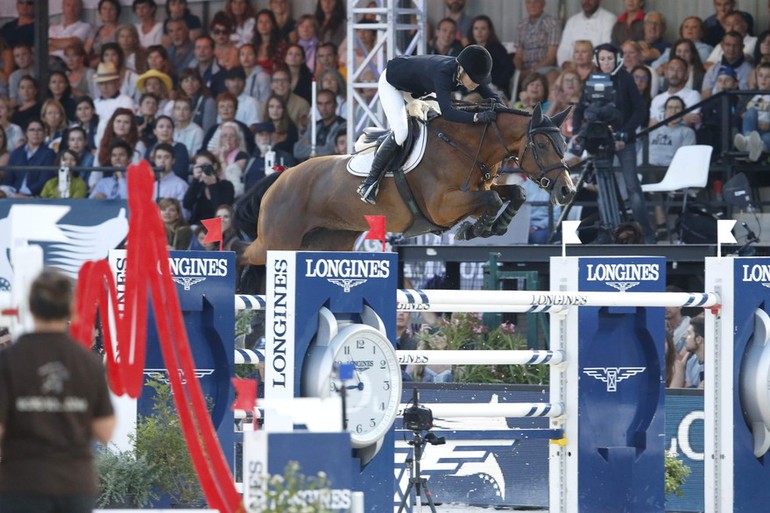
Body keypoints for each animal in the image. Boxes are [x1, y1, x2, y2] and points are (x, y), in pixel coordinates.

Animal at [243, 102, 572, 266]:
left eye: (563, 143)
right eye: (542, 145)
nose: (567, 191)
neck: (463, 145)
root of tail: (281, 177)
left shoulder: (475, 195)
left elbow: (513, 193)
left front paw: (492, 227)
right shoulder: (443, 206)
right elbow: (493, 200)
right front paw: (472, 231)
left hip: (326, 242)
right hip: (277, 242)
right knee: (246, 254)